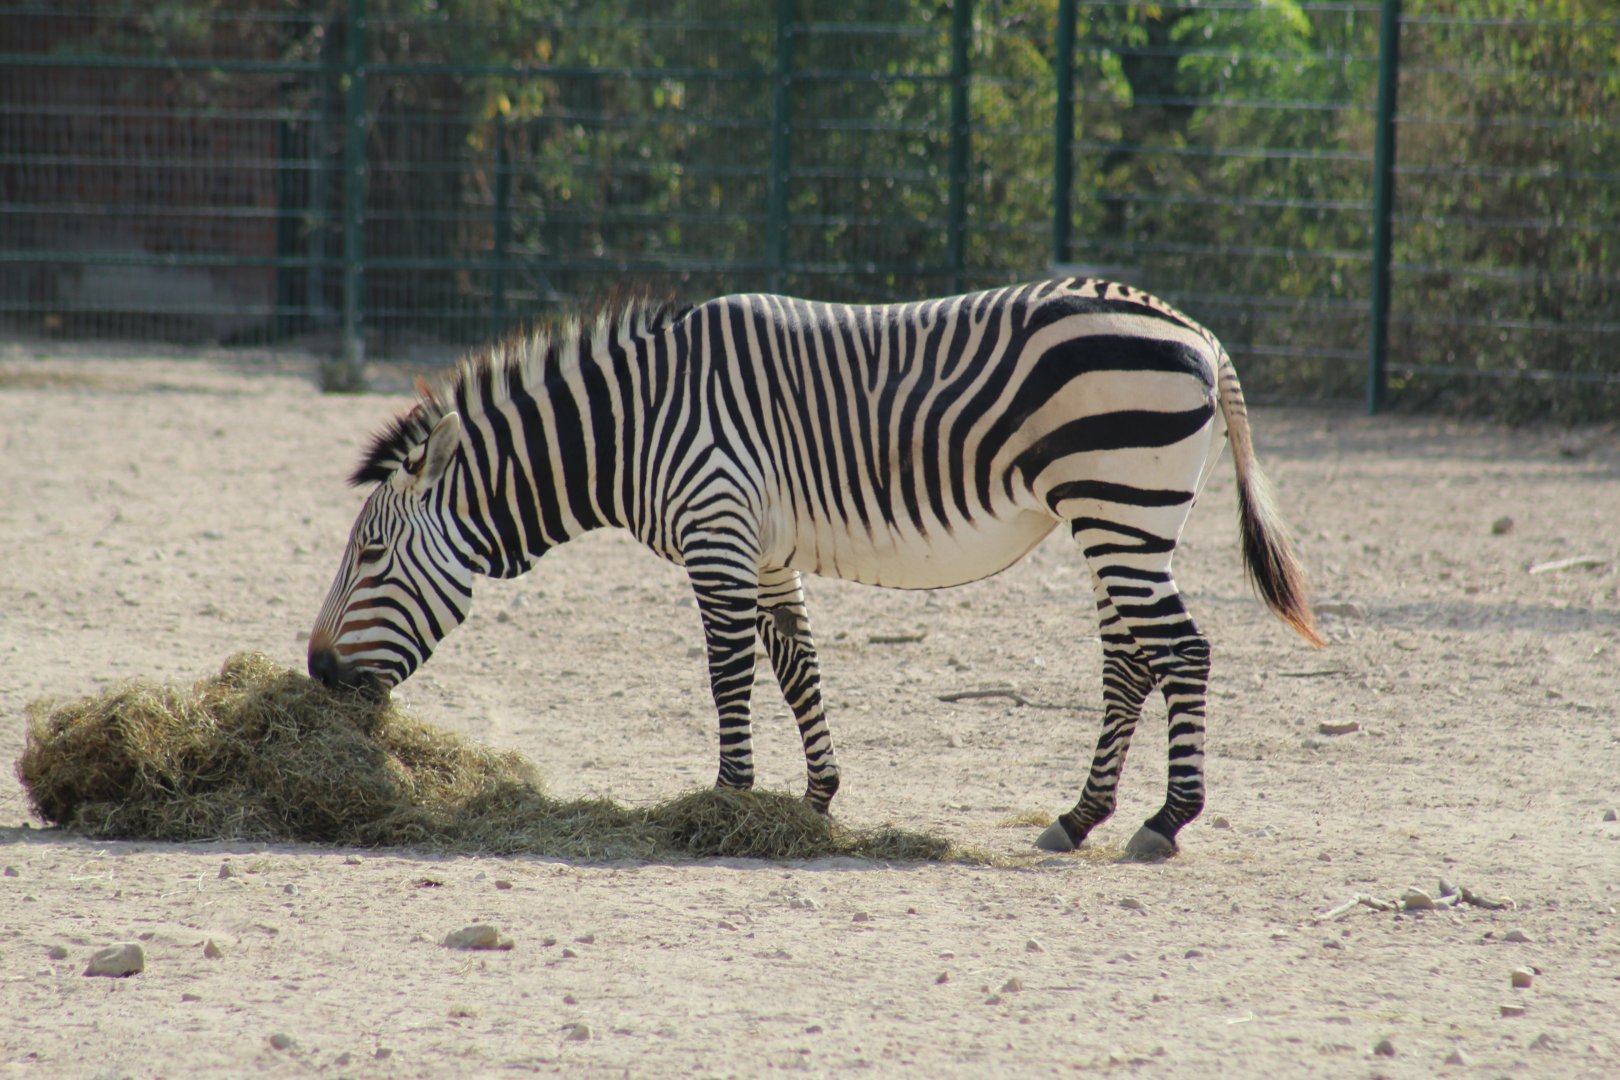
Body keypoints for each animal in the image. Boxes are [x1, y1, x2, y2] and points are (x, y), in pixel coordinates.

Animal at [307, 278, 1321, 858]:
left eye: (370, 553)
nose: (315, 673)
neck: (636, 424)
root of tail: (1195, 331)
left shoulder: (715, 533)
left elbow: (728, 675)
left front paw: (727, 801)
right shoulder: (761, 550)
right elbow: (797, 668)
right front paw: (817, 798)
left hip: (1118, 505)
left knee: (1183, 652)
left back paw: (1167, 820)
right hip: (1118, 516)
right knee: (1130, 661)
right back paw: (1081, 817)